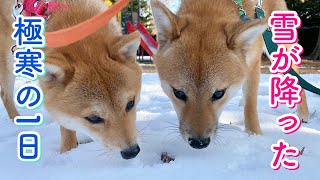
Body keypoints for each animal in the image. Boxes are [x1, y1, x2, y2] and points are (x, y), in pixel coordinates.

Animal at [0, 0, 142, 160]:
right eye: (93, 118)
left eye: (130, 104)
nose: (131, 152)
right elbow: (66, 126)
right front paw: (67, 151)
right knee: (5, 94)